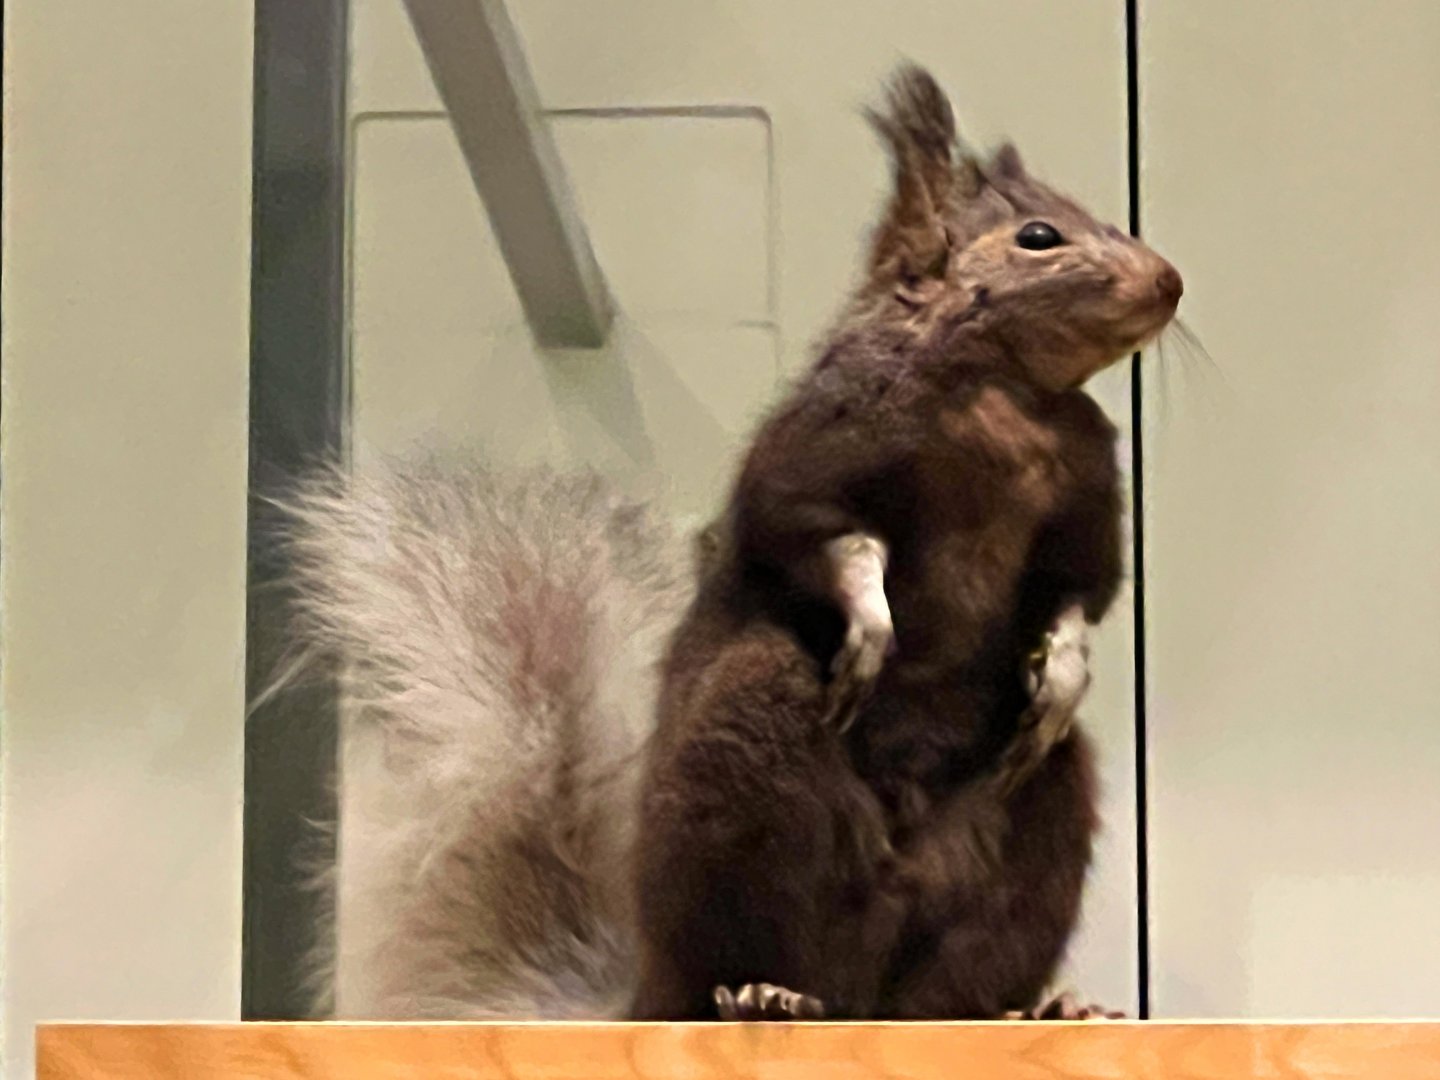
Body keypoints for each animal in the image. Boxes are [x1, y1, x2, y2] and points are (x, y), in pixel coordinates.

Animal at [278, 62, 1180, 1022]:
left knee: (942, 983)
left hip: (1030, 827)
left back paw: (1034, 1006)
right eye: (1038, 236)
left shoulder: (1084, 495)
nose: (1169, 283)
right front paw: (872, 622)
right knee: (748, 950)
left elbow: (1080, 591)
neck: (1006, 392)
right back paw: (762, 994)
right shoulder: (813, 454)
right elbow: (817, 537)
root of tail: (642, 987)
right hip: (749, 772)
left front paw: (1063, 672)